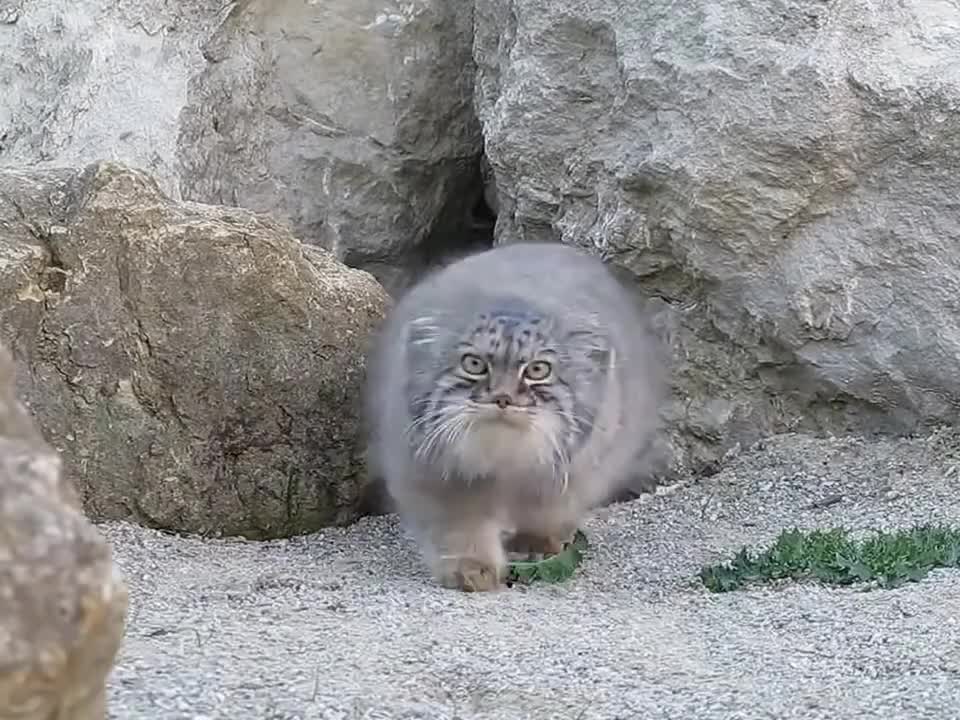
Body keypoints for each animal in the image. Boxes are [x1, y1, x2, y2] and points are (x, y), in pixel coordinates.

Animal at [364, 242, 664, 592]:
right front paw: (471, 568)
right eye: (474, 364)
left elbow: (546, 510)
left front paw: (534, 545)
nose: (503, 398)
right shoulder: (432, 472)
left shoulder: (575, 471)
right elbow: (460, 526)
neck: (504, 463)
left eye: (538, 370)